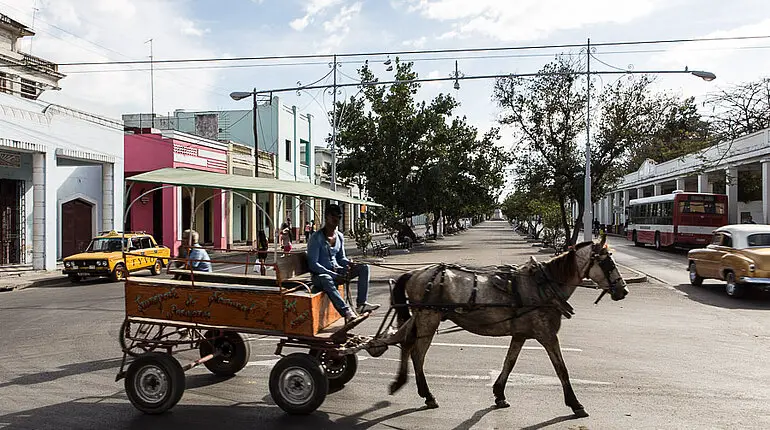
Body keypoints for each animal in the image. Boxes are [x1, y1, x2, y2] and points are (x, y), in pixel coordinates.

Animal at [388, 235, 628, 416]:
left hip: (421, 319)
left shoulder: (520, 334)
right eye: (608, 263)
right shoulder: (547, 335)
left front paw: (499, 394)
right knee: (417, 354)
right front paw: (575, 404)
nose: (623, 290)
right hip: (428, 319)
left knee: (407, 345)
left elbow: (509, 362)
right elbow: (561, 368)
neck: (543, 285)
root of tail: (415, 272)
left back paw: (403, 382)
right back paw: (427, 395)